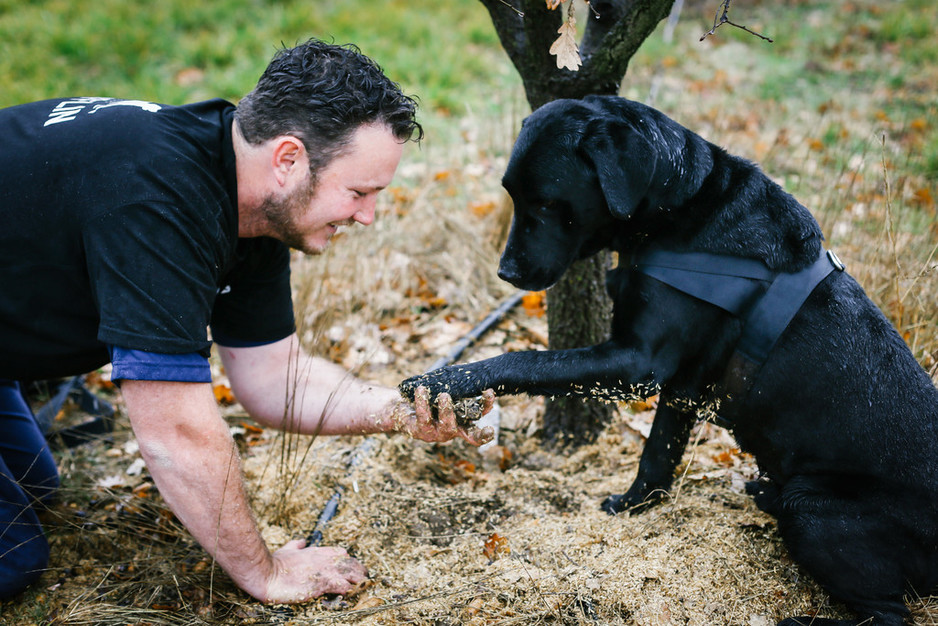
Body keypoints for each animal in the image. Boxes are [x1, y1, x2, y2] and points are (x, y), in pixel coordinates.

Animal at [400, 94, 936, 624]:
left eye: (549, 202)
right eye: (511, 195)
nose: (506, 272)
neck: (678, 210)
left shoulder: (639, 363)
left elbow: (526, 360)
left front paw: (449, 379)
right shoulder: (681, 385)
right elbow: (658, 451)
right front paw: (636, 505)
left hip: (814, 509)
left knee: (888, 614)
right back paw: (765, 494)